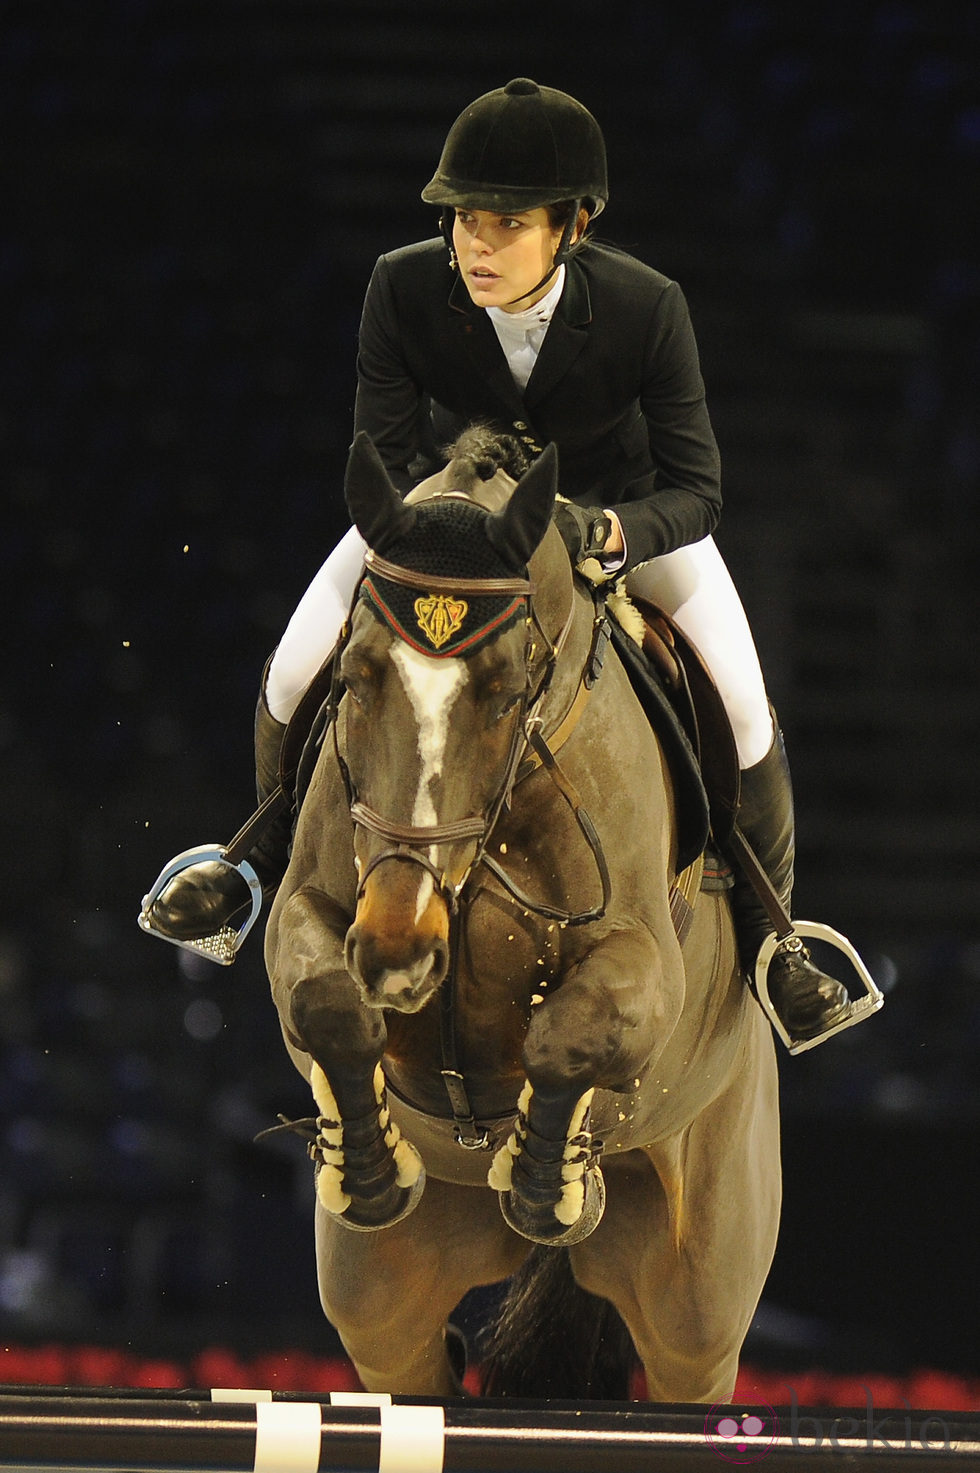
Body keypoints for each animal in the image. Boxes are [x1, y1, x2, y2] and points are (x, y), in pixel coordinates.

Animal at [262, 430, 778, 1402]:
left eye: (507, 691)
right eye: (353, 678)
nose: (400, 949)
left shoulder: (646, 959)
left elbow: (572, 1031)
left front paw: (548, 1185)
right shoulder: (311, 915)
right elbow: (324, 1000)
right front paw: (373, 1168)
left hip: (699, 1296)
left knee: (691, 1357)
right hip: (381, 1296)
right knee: (409, 1359)